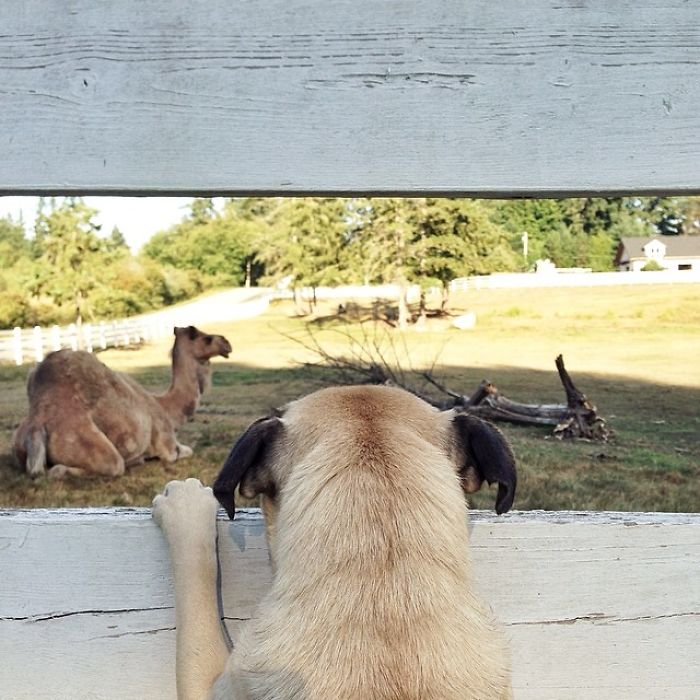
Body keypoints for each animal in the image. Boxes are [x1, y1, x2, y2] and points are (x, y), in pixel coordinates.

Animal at [10, 324, 231, 478]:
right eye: (205, 337)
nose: (227, 343)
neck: (165, 407)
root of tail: (37, 425)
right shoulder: (166, 445)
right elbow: (184, 452)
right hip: (85, 442)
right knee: (97, 467)